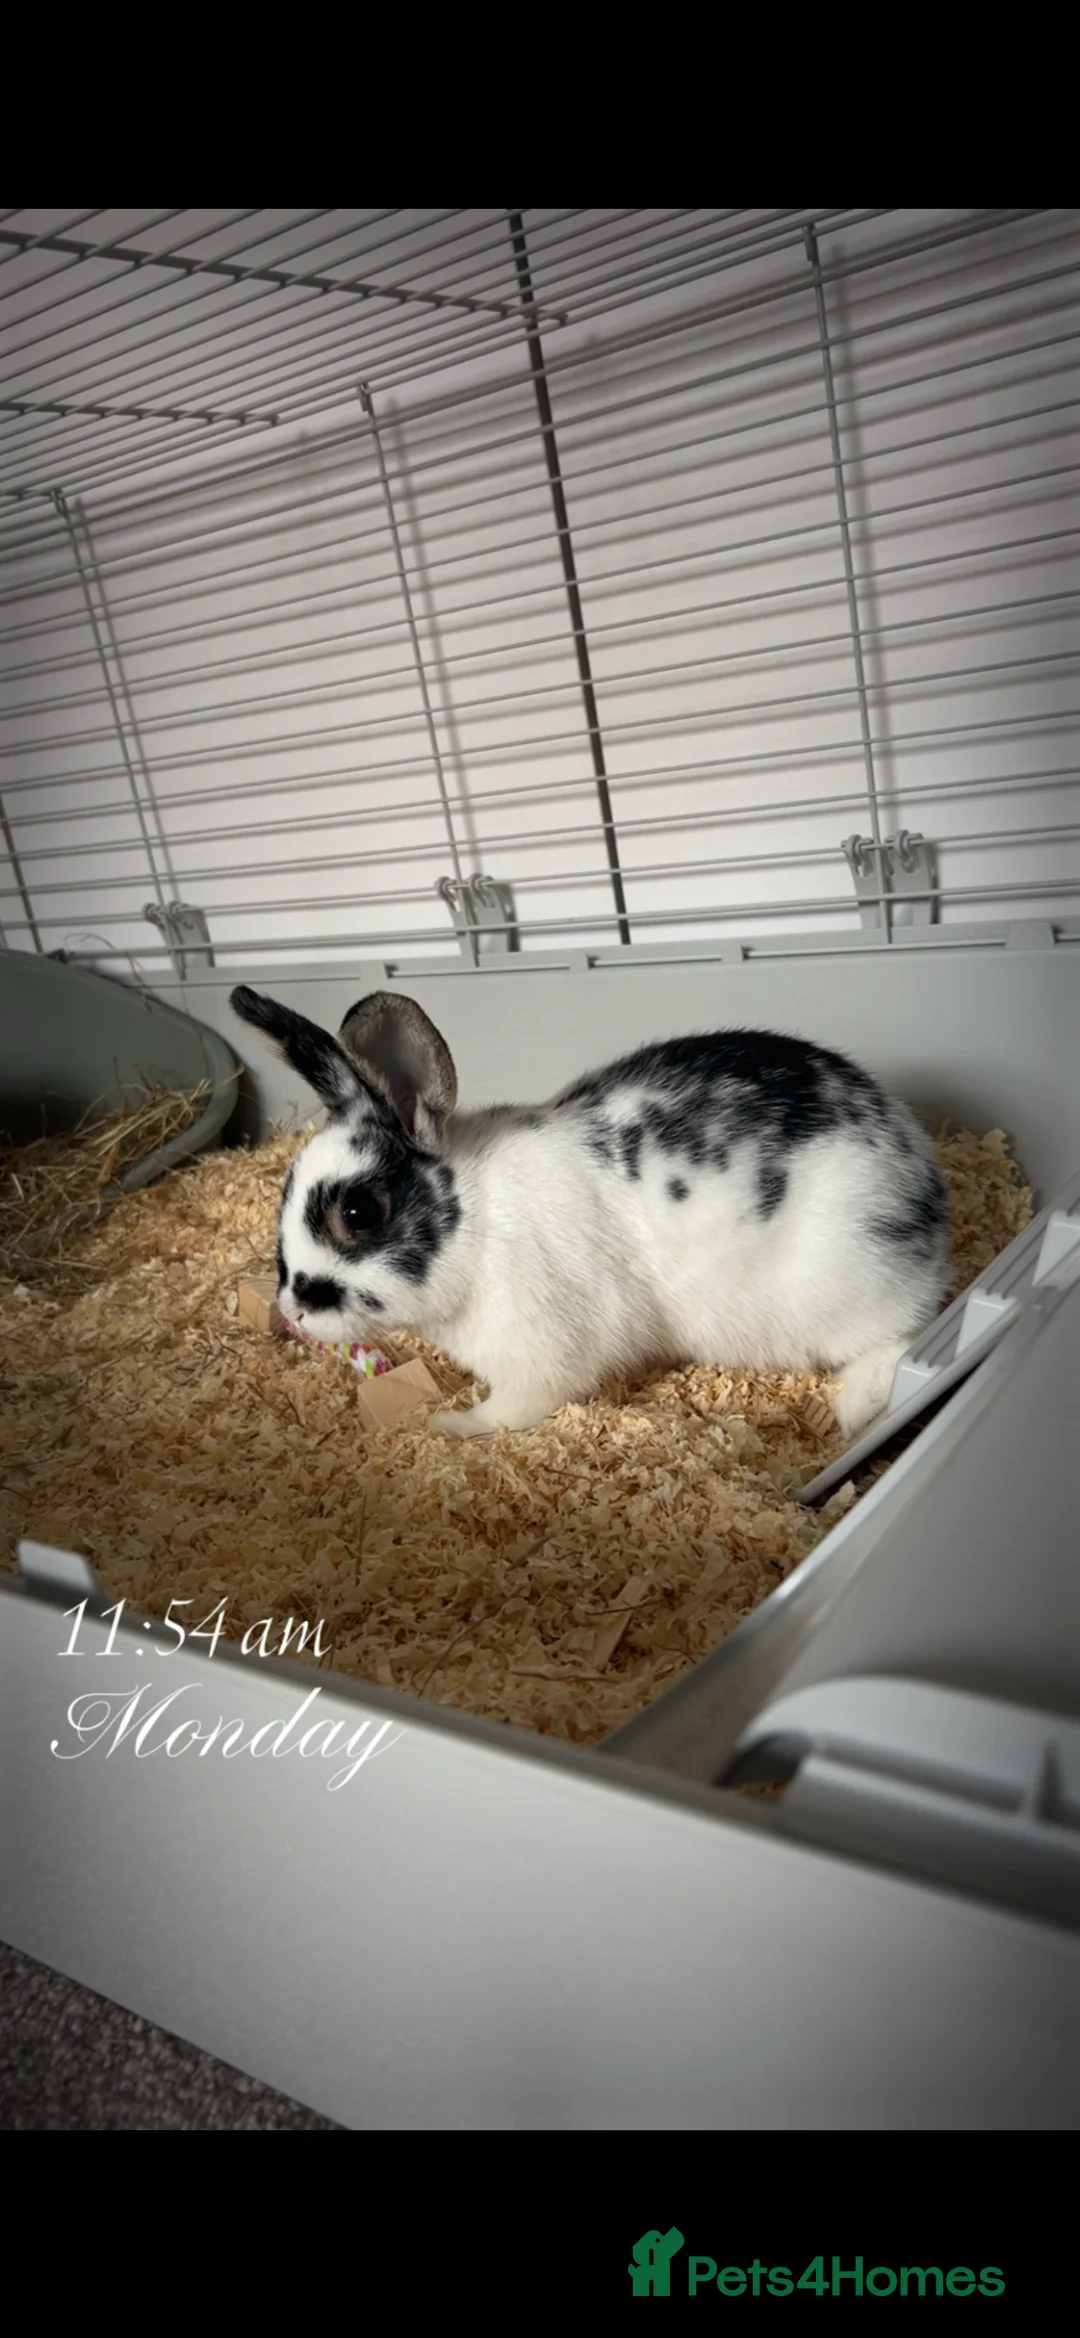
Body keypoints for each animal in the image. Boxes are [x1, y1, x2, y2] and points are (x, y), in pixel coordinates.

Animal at [229, 983, 950, 1445]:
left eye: (359, 1211)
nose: (293, 1310)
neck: (476, 1224)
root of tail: (924, 1177)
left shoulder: (540, 1352)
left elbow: (512, 1409)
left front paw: (451, 1424)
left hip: (847, 1281)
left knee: (903, 1337)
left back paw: (857, 1408)